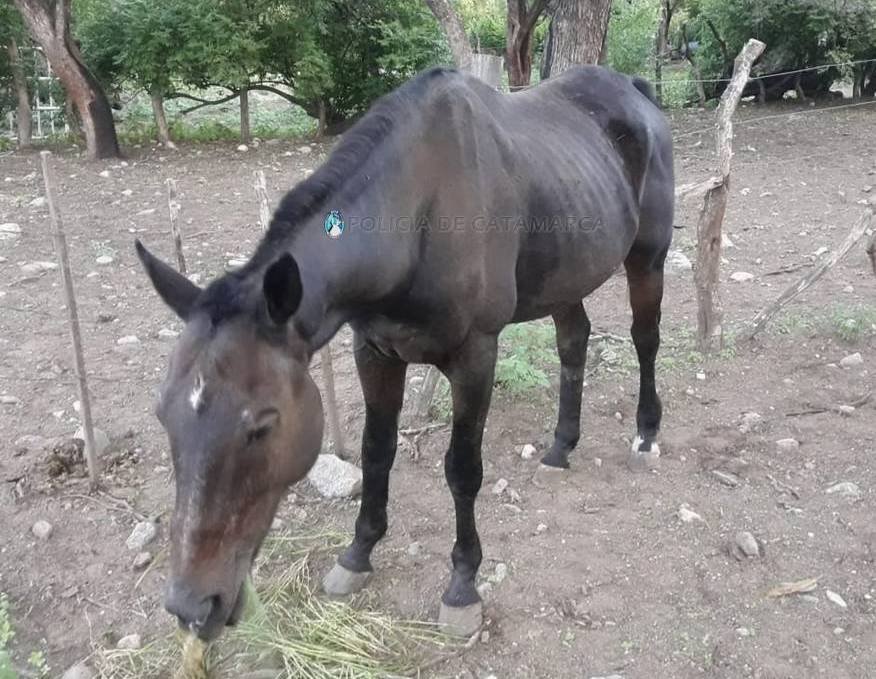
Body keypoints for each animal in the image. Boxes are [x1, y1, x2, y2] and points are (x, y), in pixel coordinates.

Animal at [137, 65, 676, 644]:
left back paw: (646, 434)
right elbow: (377, 450)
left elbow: (462, 468)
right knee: (573, 342)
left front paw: (463, 584)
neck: (420, 214)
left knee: (645, 339)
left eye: (260, 426)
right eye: (163, 415)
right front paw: (358, 553)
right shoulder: (374, 352)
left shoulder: (475, 355)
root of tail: (635, 91)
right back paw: (560, 447)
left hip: (647, 260)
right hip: (566, 274)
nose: (192, 607)